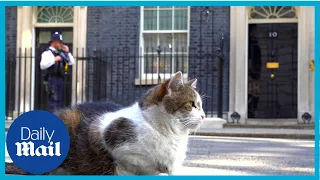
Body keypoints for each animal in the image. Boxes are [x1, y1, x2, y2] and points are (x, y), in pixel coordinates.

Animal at [5, 71, 205, 176]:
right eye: (191, 104)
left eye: (201, 105)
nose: (203, 116)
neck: (167, 132)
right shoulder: (116, 145)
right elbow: (142, 163)